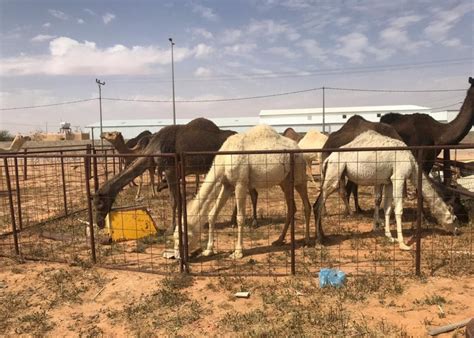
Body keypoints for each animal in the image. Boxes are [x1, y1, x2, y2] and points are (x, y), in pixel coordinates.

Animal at [93, 118, 260, 232]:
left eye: (99, 203)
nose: (98, 222)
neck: (153, 148)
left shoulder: (170, 170)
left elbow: (174, 200)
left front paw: (172, 227)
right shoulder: (176, 173)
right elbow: (179, 198)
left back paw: (248, 222)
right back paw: (236, 221)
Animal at [176, 124, 312, 258]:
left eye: (182, 237)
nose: (177, 256)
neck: (224, 159)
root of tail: (299, 148)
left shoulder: (240, 183)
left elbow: (240, 218)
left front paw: (238, 252)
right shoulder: (227, 185)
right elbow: (212, 214)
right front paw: (209, 250)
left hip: (299, 176)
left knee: (306, 205)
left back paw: (306, 241)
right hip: (285, 182)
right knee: (292, 207)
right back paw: (279, 240)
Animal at [312, 129, 458, 251]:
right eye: (454, 218)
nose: (457, 231)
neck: (412, 162)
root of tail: (328, 158)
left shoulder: (388, 181)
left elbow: (387, 207)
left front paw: (389, 236)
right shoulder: (399, 176)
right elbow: (398, 209)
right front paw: (403, 244)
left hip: (335, 172)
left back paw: (323, 237)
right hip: (334, 171)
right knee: (319, 203)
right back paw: (319, 241)